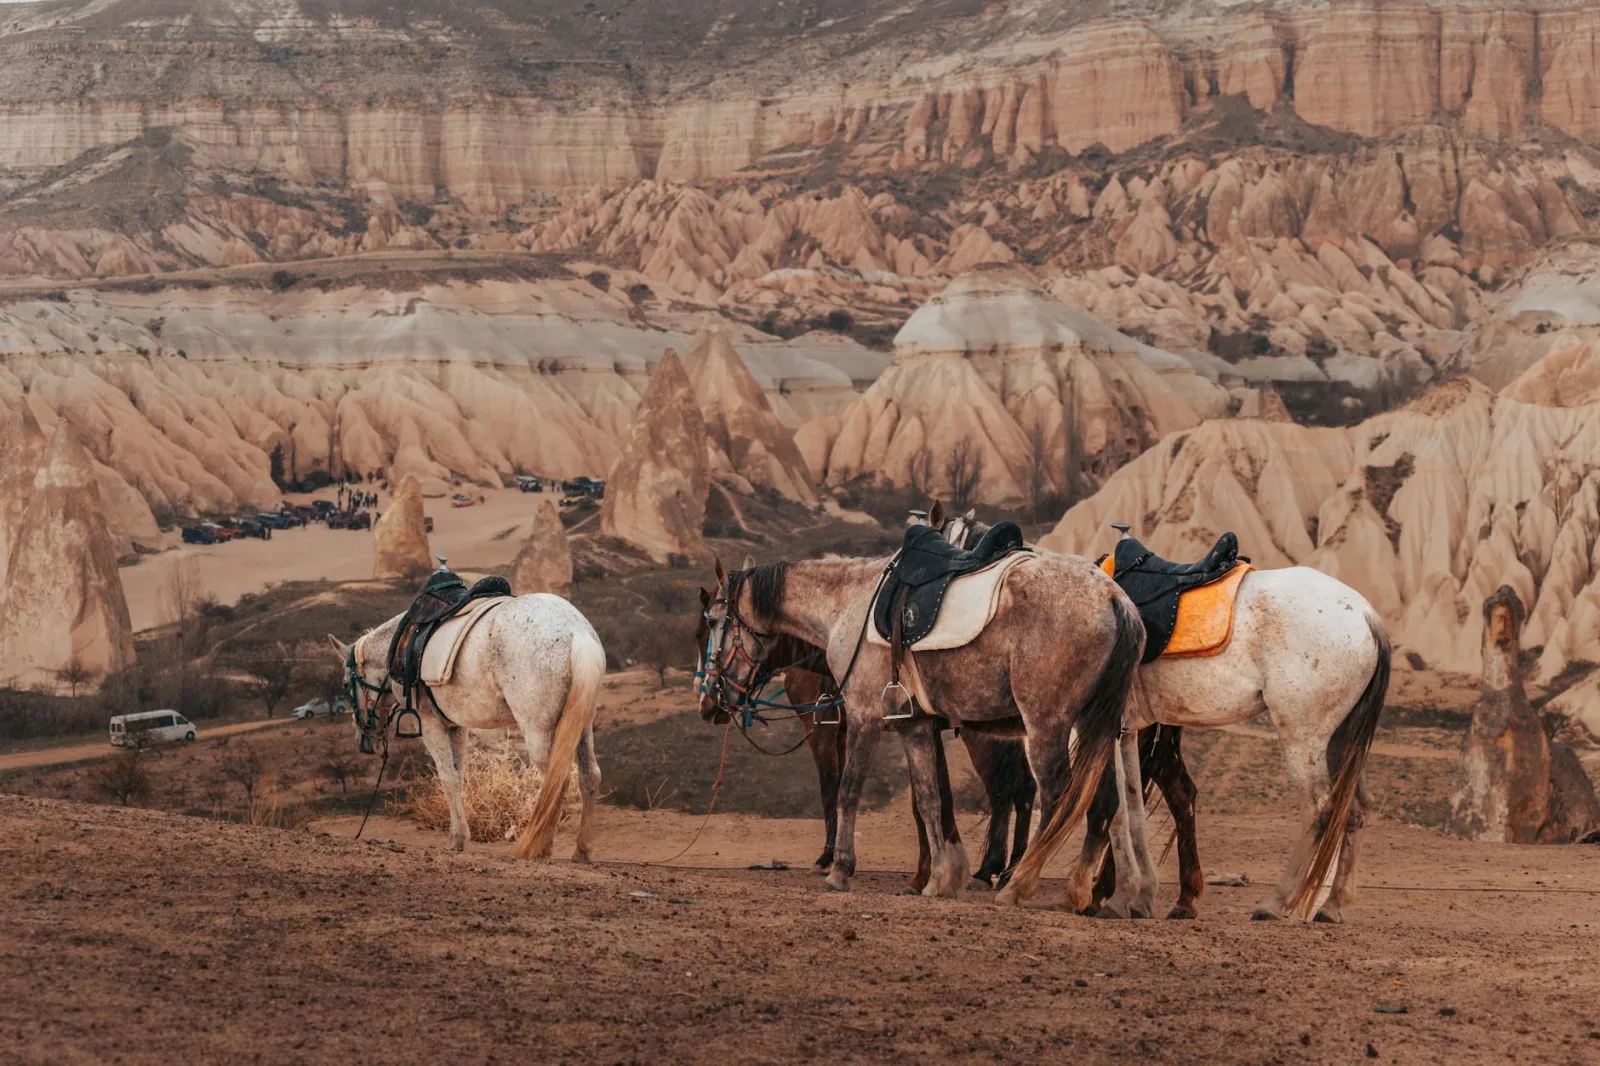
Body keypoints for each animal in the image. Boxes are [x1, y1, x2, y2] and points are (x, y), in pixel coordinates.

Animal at [330, 594, 607, 862]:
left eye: (345, 685)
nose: (363, 741)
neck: (401, 646)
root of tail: (576, 632)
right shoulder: (457, 727)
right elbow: (459, 776)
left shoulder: (431, 726)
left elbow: (448, 779)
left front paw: (458, 839)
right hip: (580, 724)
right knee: (589, 776)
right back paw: (582, 850)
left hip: (538, 729)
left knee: (555, 781)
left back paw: (540, 847)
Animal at [694, 601, 1036, 889]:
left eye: (708, 635)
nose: (708, 704)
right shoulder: (871, 731)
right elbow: (930, 798)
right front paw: (931, 870)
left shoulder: (823, 733)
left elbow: (833, 790)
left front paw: (829, 859)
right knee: (1023, 789)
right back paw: (1009, 870)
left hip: (983, 738)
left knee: (1003, 790)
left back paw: (994, 869)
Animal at [943, 510, 1391, 923]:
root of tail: (1367, 615)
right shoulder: (1125, 731)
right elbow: (1131, 806)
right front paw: (1132, 896)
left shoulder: (1086, 730)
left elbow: (1107, 806)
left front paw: (1105, 894)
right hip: (1340, 740)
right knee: (1355, 808)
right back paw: (1331, 905)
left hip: (1304, 738)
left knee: (1321, 809)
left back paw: (1281, 903)